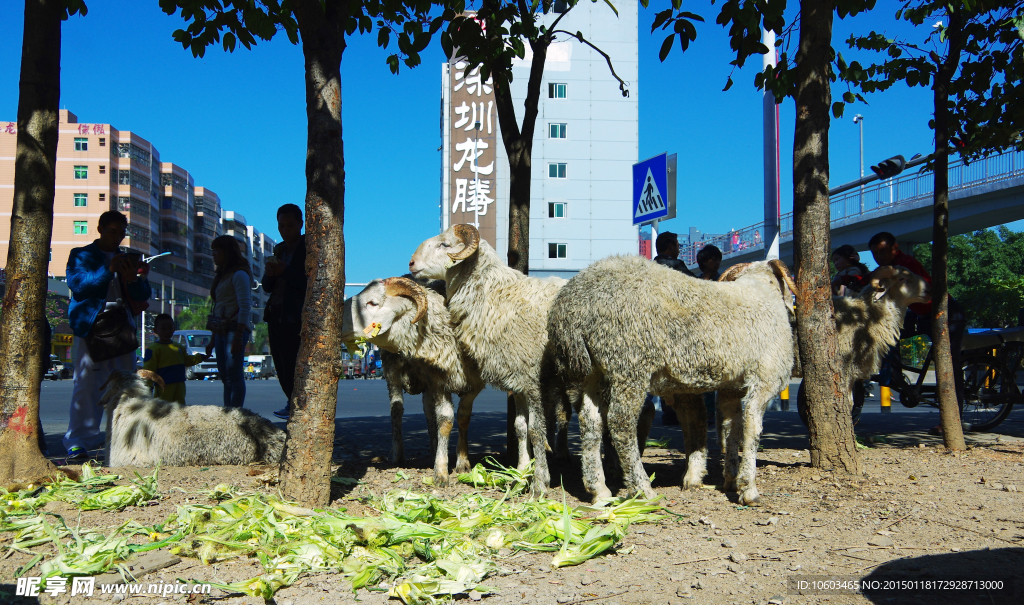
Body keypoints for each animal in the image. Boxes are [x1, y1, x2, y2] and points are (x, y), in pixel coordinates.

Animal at [339, 276, 483, 487]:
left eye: (372, 302)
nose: (339, 325)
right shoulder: (438, 379)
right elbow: (446, 420)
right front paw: (441, 472)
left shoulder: (475, 383)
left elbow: (463, 417)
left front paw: (462, 462)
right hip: (392, 371)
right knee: (396, 410)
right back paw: (398, 455)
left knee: (428, 412)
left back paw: (434, 448)